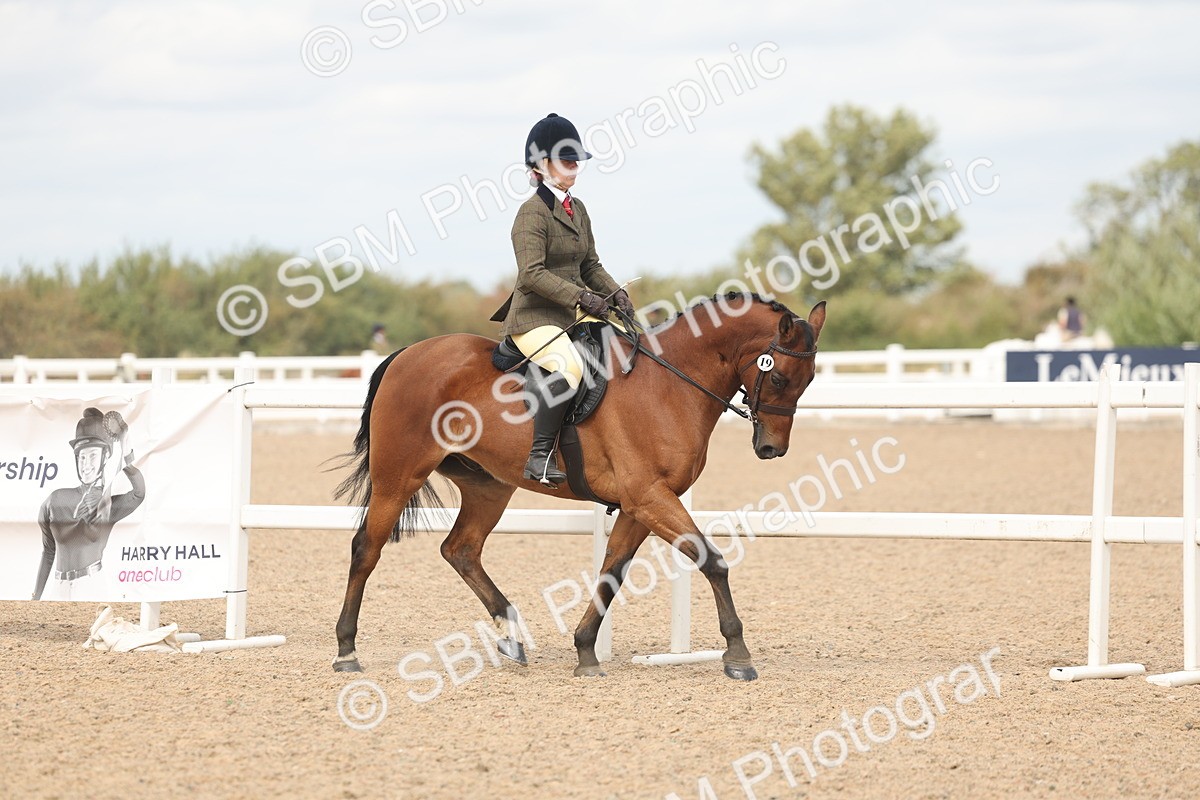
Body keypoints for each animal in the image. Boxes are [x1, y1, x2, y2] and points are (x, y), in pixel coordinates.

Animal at [332, 292, 827, 680]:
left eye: (809, 380)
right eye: (778, 376)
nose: (771, 448)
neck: (670, 383)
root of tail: (406, 354)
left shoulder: (638, 505)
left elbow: (613, 571)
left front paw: (586, 650)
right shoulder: (650, 497)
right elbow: (712, 560)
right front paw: (738, 655)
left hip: (488, 486)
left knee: (461, 549)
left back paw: (511, 636)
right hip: (398, 476)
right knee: (366, 548)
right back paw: (346, 650)